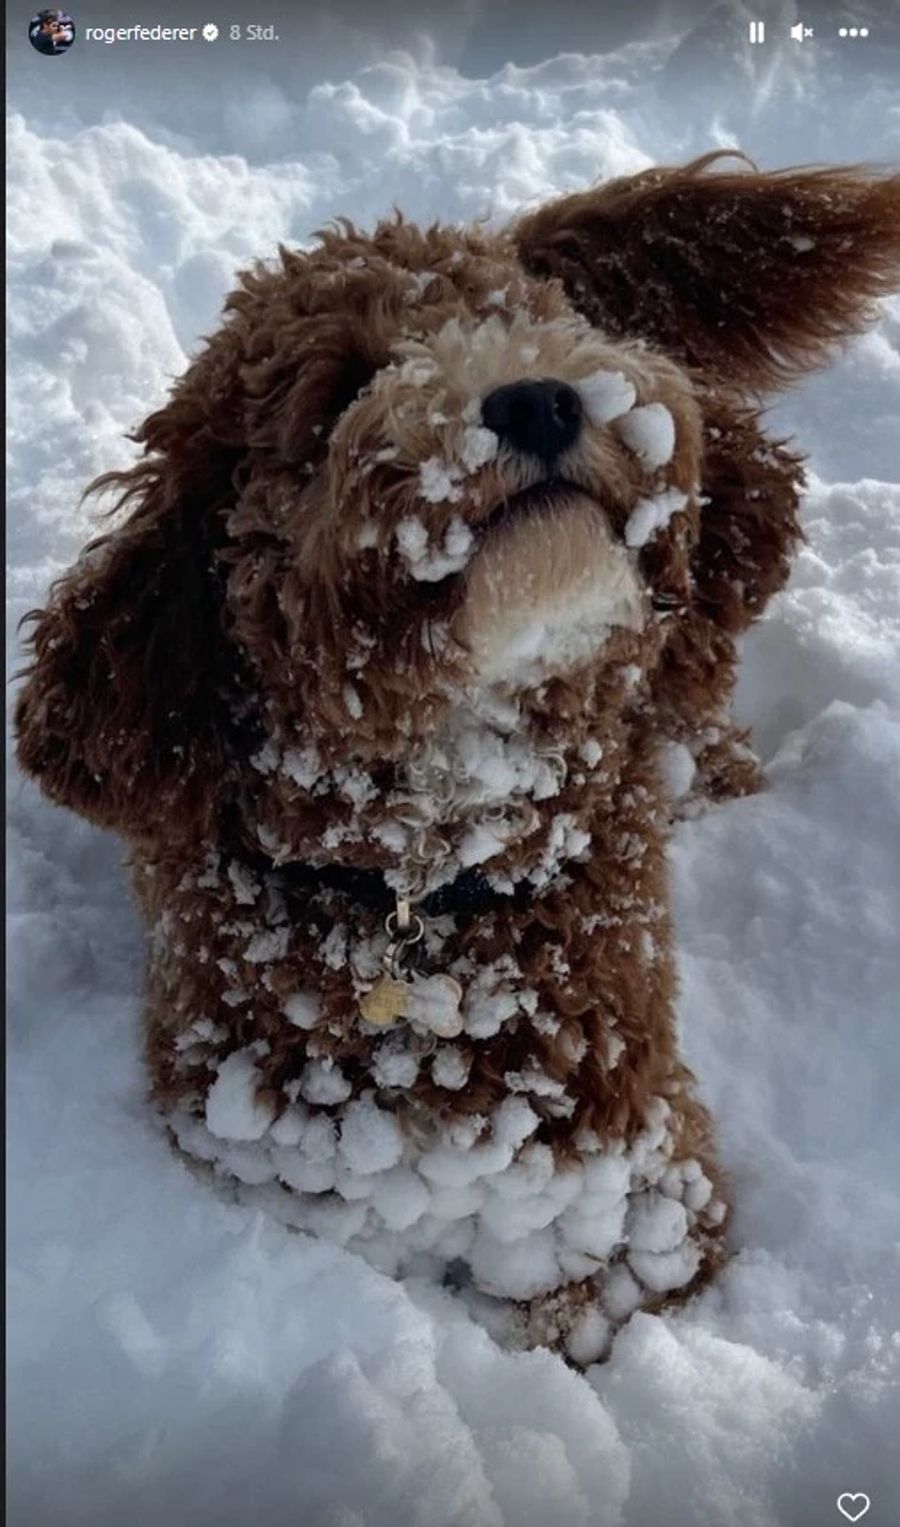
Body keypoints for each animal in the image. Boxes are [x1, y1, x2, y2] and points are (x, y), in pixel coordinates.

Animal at [15, 158, 898, 1374]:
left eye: (517, 319)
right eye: (339, 388)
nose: (536, 398)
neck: (431, 876)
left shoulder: (641, 1181)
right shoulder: (259, 1147)